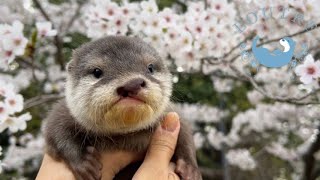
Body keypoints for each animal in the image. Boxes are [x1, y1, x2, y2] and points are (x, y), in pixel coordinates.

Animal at [44, 35, 201, 179]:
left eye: (150, 67)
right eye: (97, 72)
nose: (132, 84)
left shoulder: (173, 113)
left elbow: (185, 133)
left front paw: (190, 169)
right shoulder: (62, 112)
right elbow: (56, 131)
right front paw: (84, 162)